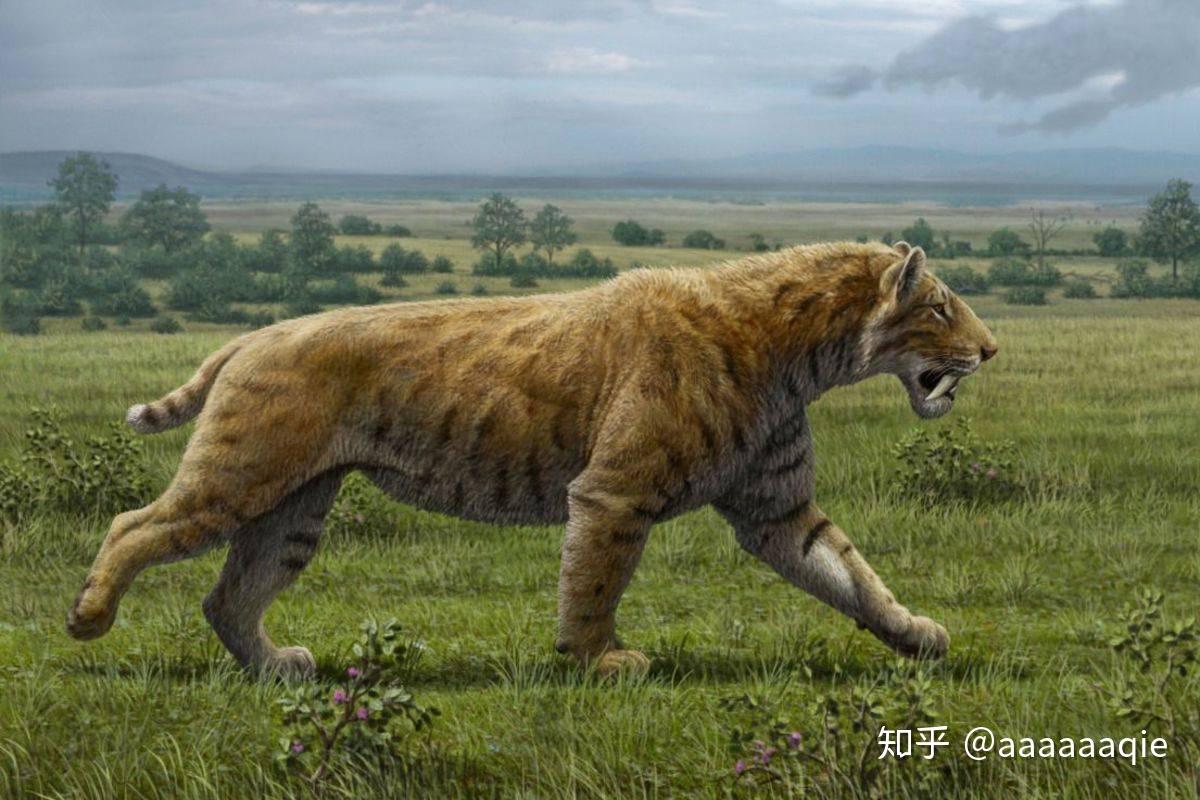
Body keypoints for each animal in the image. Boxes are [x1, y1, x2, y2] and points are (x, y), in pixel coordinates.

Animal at [67, 241, 998, 679]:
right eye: (942, 308)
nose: (991, 349)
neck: (800, 354)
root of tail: (254, 333)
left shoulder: (776, 511)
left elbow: (852, 574)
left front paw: (917, 635)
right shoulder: (614, 492)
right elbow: (594, 581)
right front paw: (598, 662)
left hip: (292, 509)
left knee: (228, 595)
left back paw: (277, 668)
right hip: (239, 476)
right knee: (133, 524)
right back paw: (88, 617)